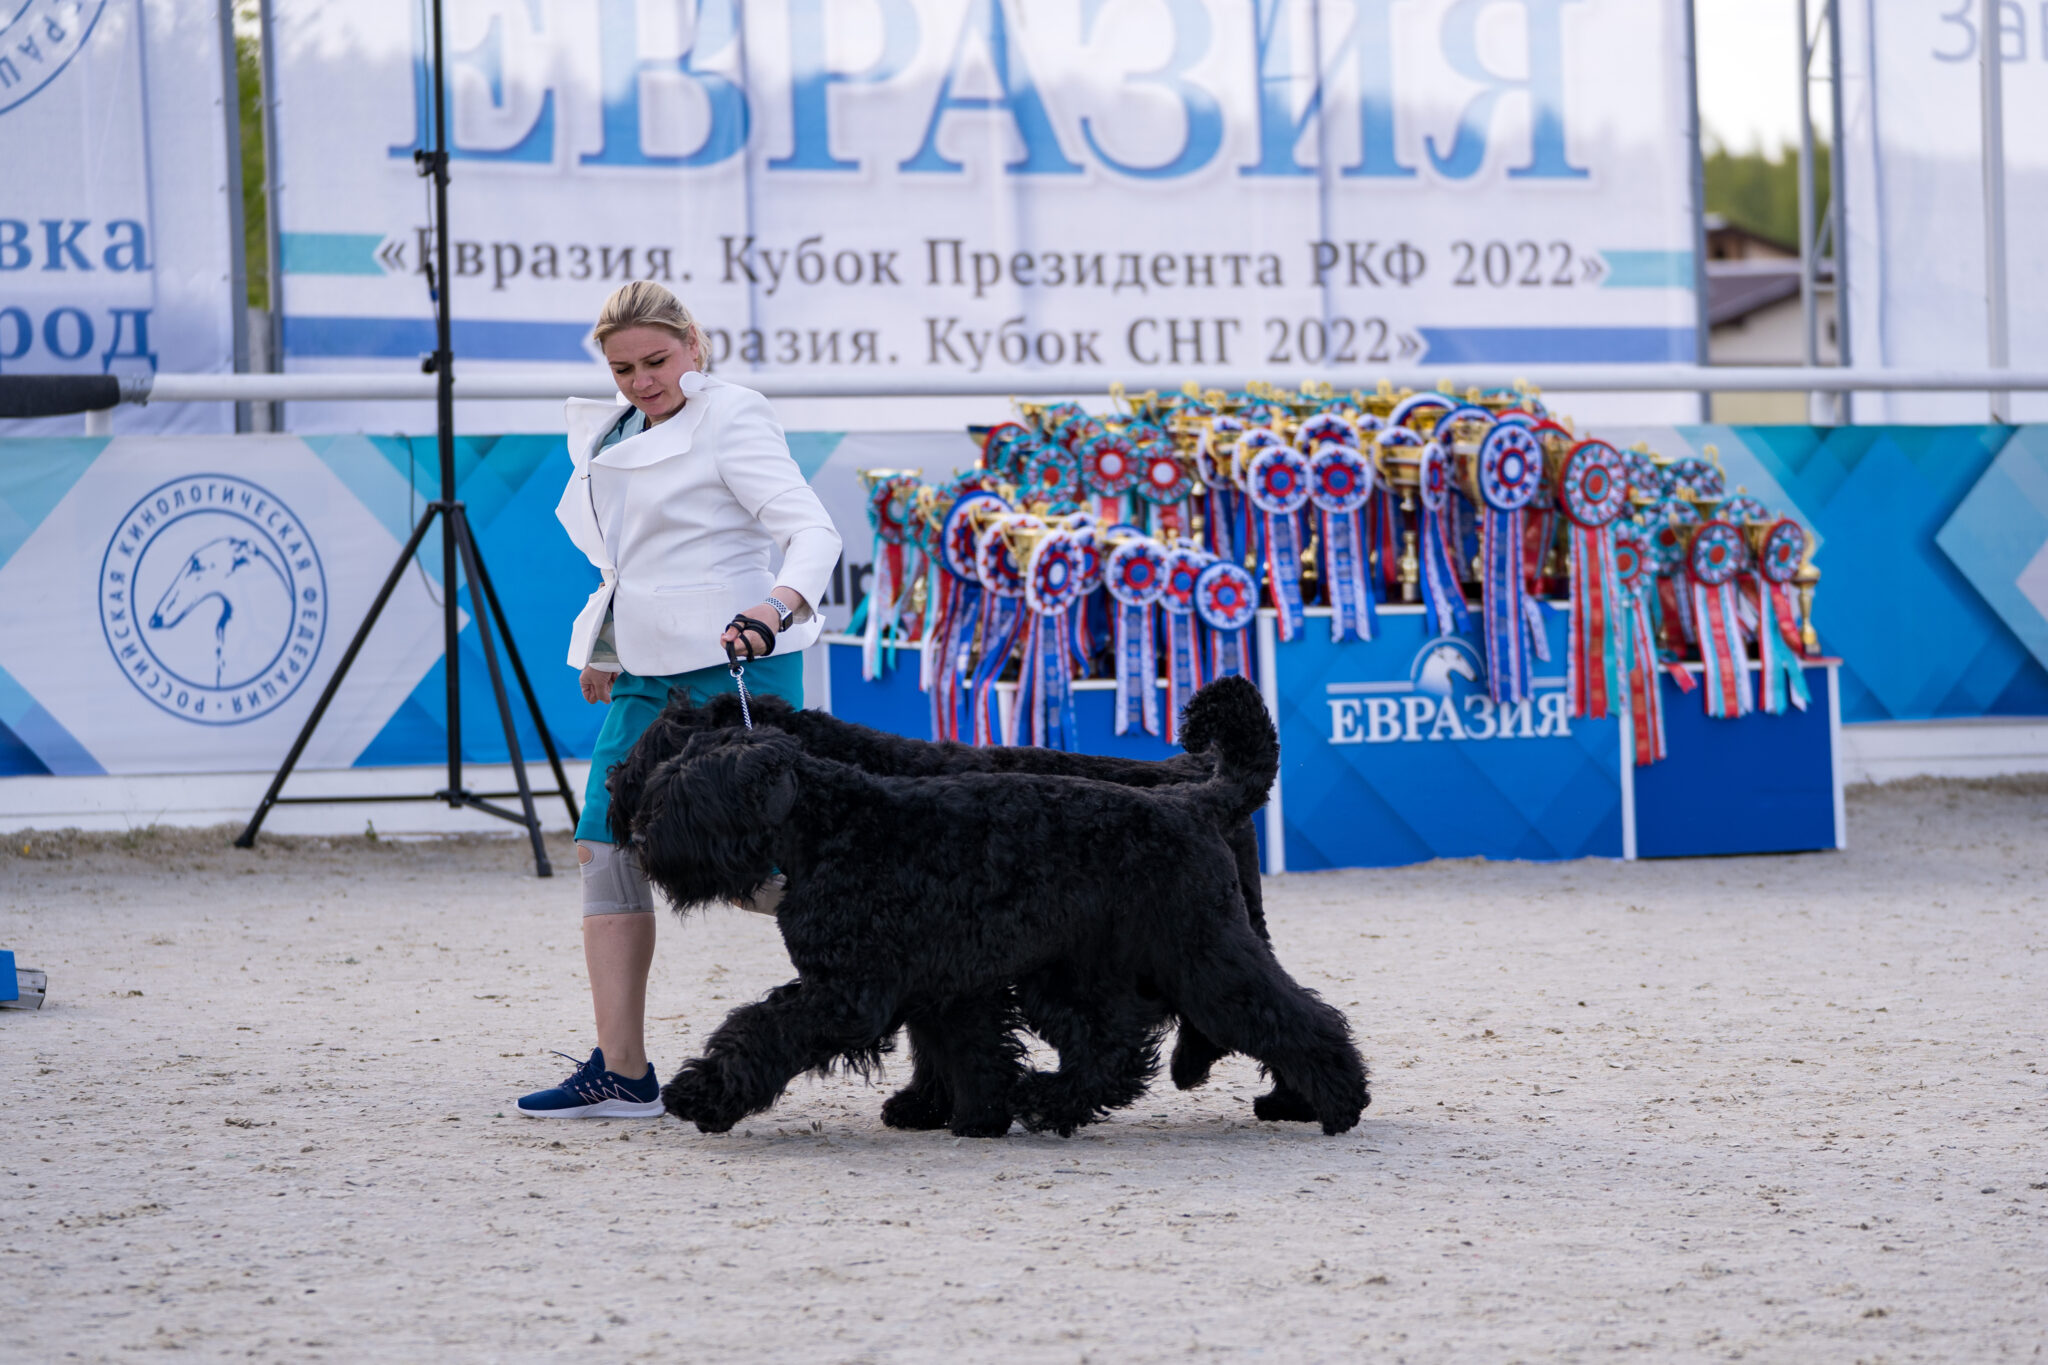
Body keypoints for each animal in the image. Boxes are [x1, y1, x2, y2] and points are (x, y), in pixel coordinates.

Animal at [626, 679, 1359, 1146]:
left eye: (688, 793)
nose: (635, 831)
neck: (831, 828)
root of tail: (1197, 797)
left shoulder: (848, 992)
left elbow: (757, 1032)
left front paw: (702, 1094)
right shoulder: (947, 981)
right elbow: (963, 1046)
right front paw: (977, 1113)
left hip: (1198, 953)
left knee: (1289, 1016)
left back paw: (1338, 1099)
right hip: (1080, 974)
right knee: (1114, 1048)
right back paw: (1047, 1100)